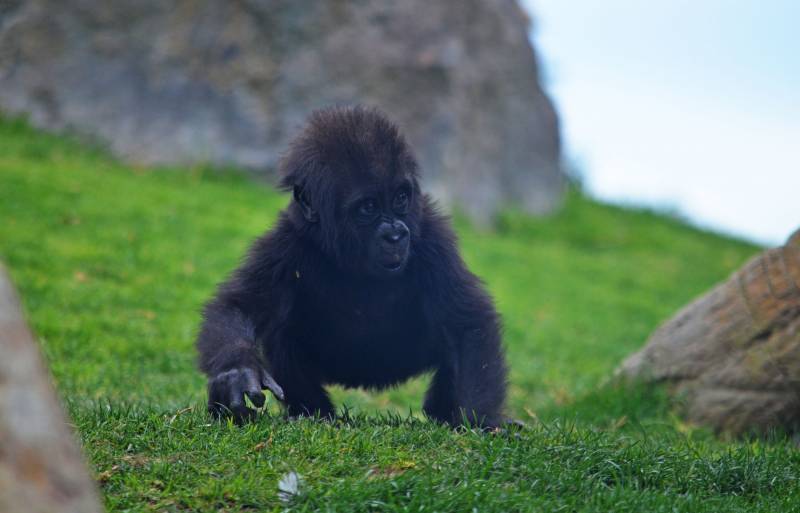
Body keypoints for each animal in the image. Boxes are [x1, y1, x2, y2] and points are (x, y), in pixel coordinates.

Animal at [196, 105, 506, 428]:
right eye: (368, 207)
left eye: (400, 198)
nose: (395, 235)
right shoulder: (283, 246)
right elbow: (238, 307)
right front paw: (237, 372)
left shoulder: (434, 240)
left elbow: (467, 323)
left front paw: (483, 421)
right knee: (280, 334)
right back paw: (314, 411)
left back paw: (442, 413)